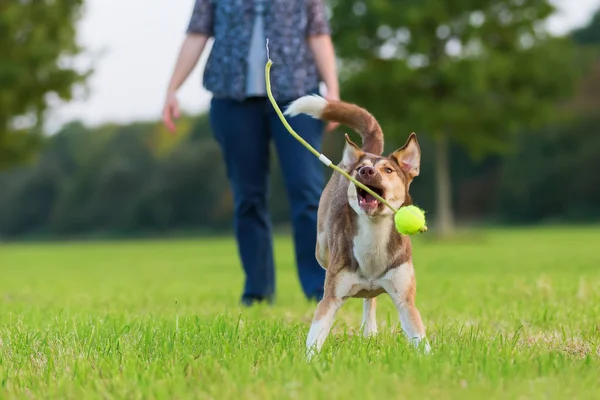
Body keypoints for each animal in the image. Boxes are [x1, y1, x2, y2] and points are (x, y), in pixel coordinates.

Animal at [284, 94, 428, 356]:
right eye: (361, 169)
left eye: (389, 170)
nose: (366, 170)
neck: (374, 234)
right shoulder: (331, 296)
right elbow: (316, 335)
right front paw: (307, 361)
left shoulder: (404, 297)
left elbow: (419, 336)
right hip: (322, 248)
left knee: (370, 298)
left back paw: (369, 330)